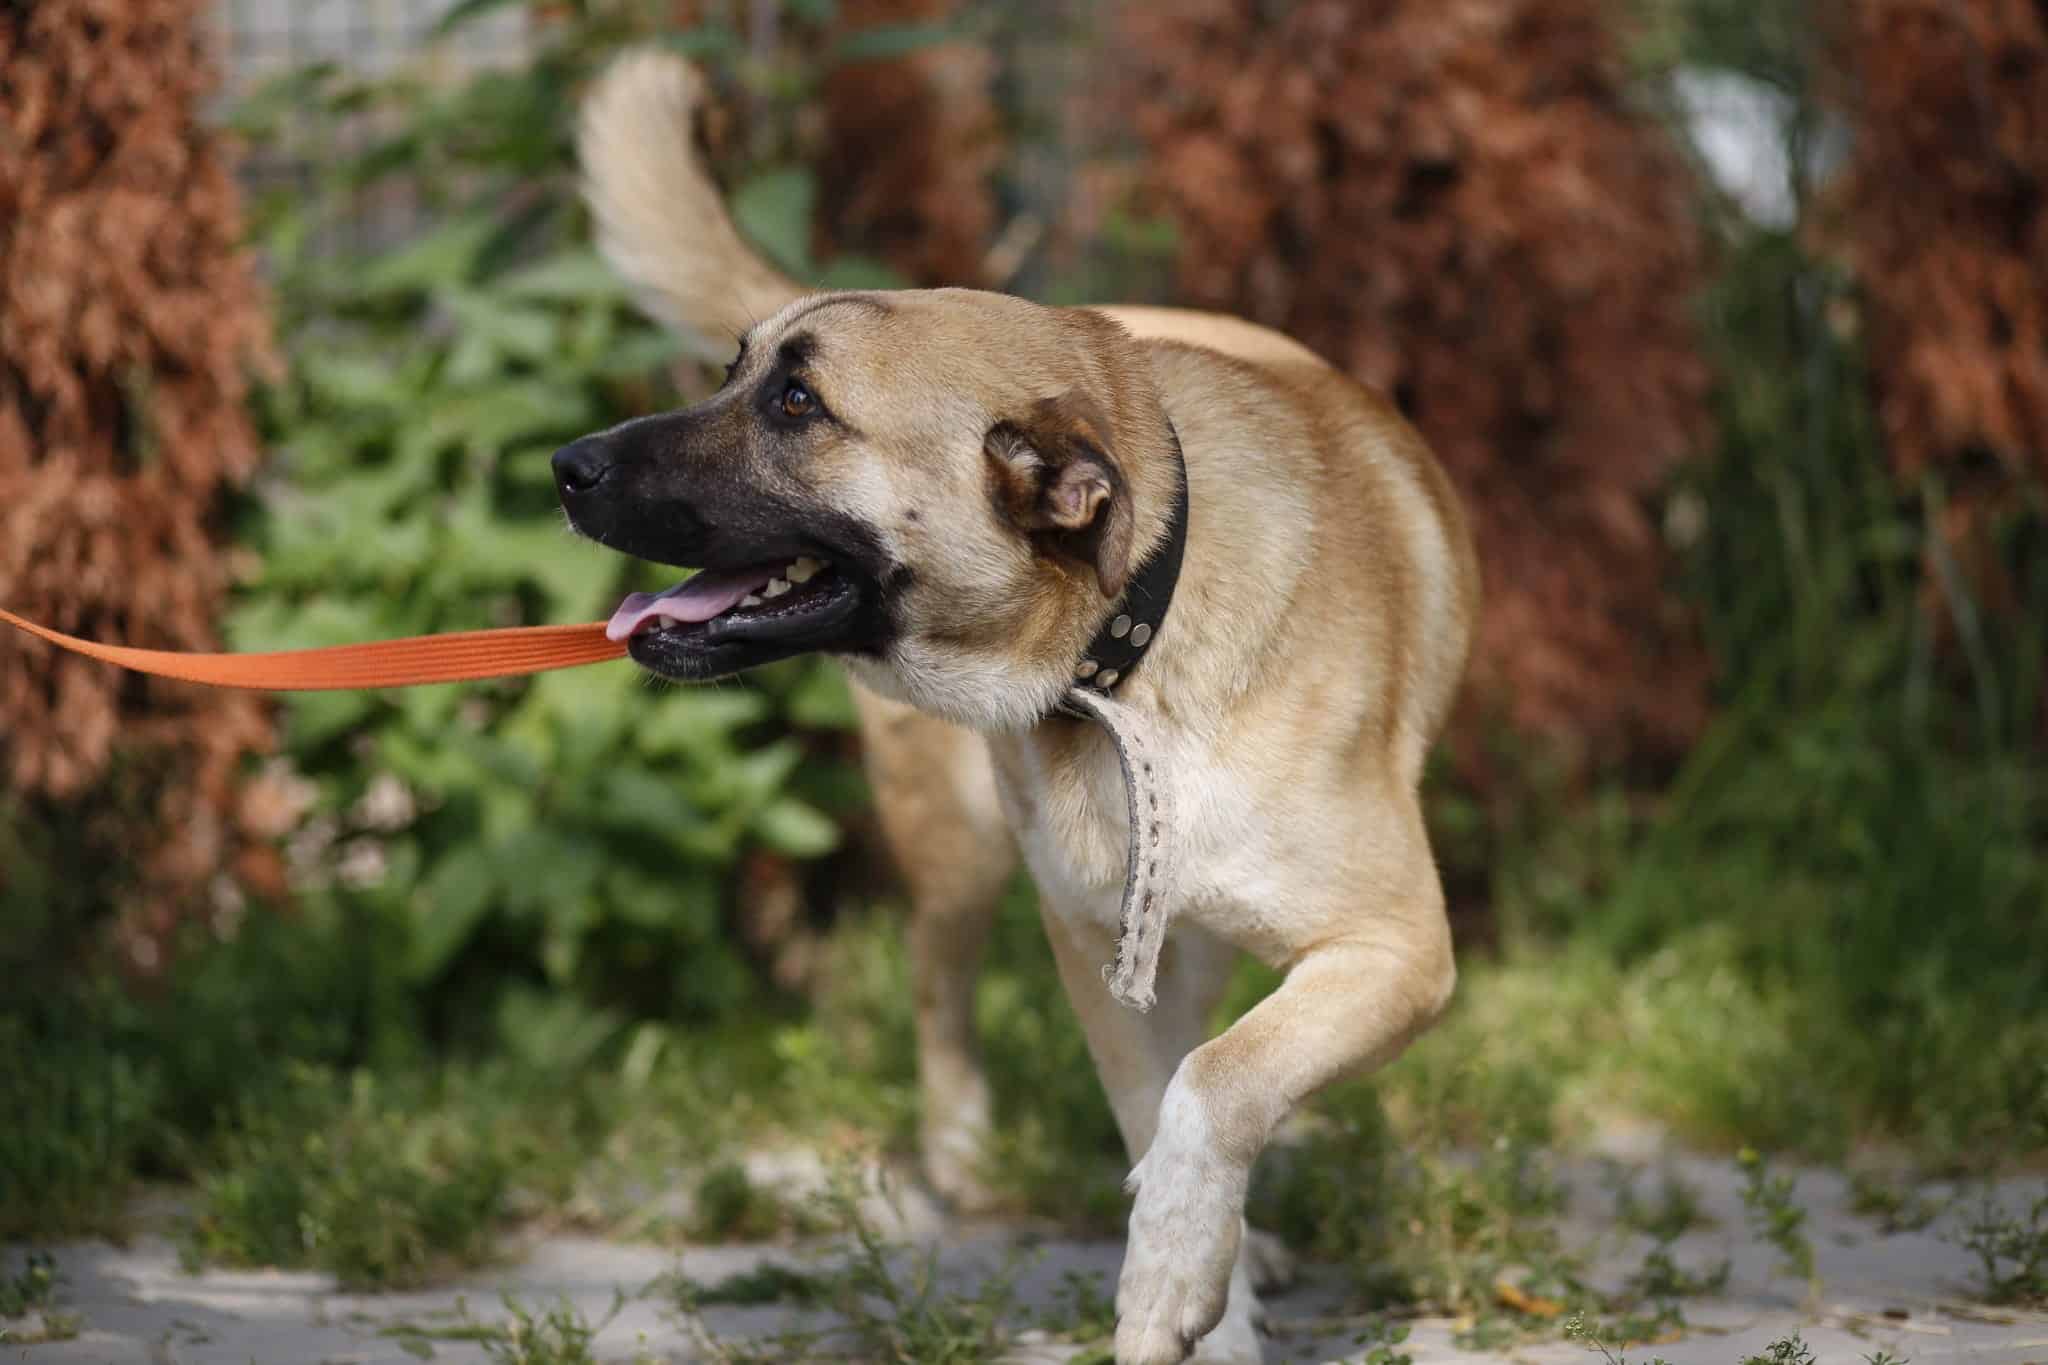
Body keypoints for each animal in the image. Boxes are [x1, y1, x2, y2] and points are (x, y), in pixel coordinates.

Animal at [560, 52, 1479, 1365]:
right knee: (935, 977)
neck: (1127, 645)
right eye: (736, 373)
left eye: (797, 404)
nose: (565, 468)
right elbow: (1163, 1104)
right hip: (962, 845)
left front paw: (1181, 1265)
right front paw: (1199, 1300)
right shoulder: (1093, 946)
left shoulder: (1397, 952)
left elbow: (1216, 1084)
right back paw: (965, 1157)